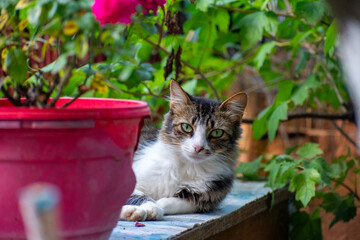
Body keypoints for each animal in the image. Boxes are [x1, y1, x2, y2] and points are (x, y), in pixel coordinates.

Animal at [119, 79, 246, 220]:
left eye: (216, 133)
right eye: (186, 127)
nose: (198, 147)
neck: (187, 166)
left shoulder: (205, 198)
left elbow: (168, 202)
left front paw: (154, 207)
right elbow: (141, 196)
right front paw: (146, 209)